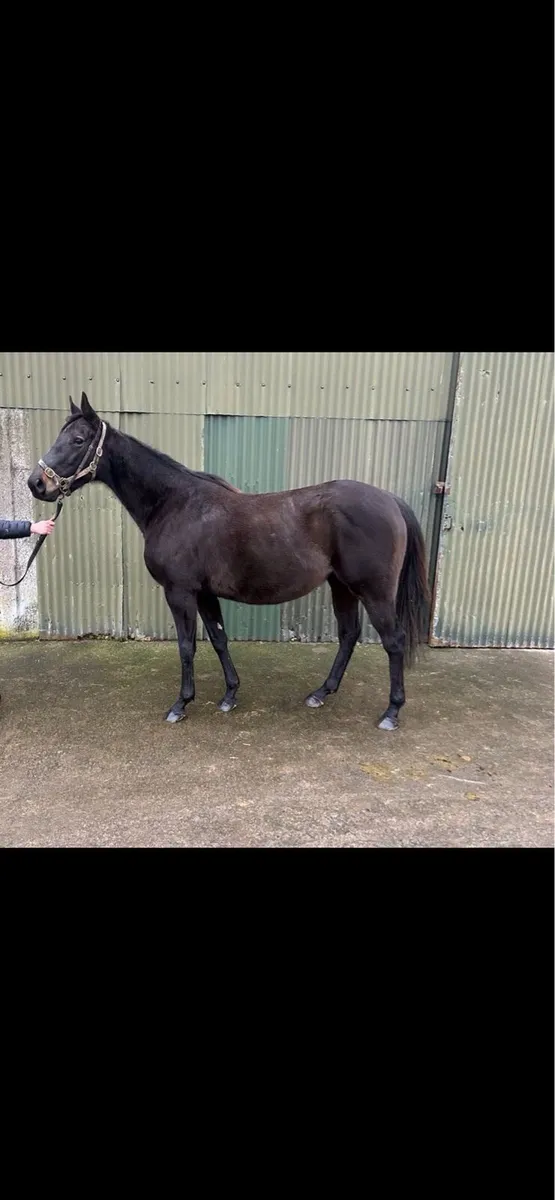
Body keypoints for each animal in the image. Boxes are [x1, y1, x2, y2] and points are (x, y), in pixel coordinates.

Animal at [28, 392, 430, 730]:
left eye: (78, 440)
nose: (36, 484)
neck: (174, 504)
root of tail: (390, 500)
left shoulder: (180, 593)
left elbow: (187, 647)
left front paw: (181, 704)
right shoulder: (205, 593)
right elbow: (219, 639)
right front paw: (230, 695)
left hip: (374, 592)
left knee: (393, 641)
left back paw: (391, 712)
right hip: (341, 586)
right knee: (348, 635)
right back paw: (320, 693)